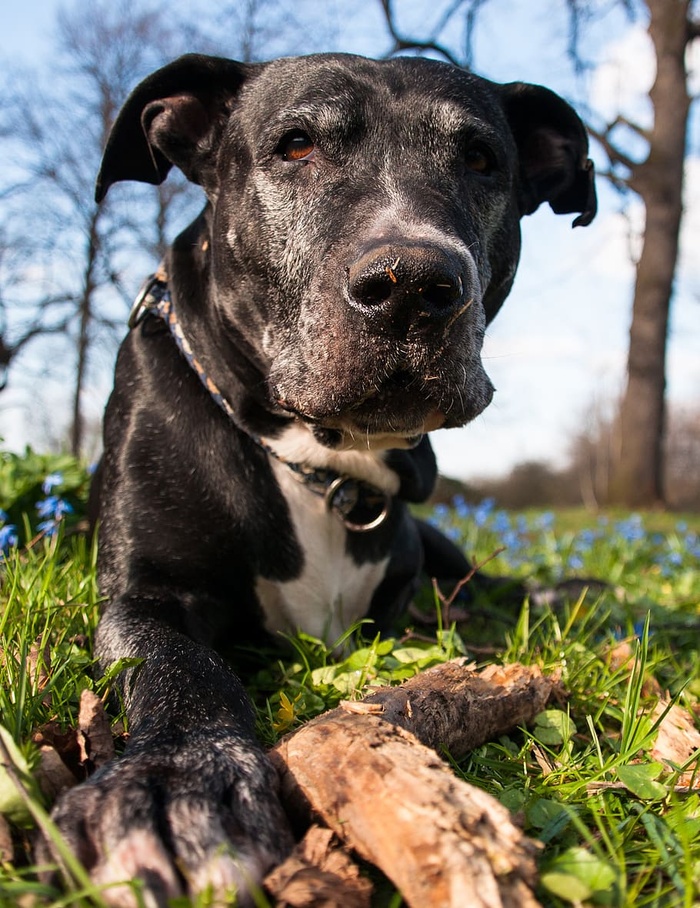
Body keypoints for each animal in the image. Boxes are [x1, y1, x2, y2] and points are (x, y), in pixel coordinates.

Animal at [49, 53, 596, 904]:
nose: (412, 284)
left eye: (480, 159)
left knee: (485, 580)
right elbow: (184, 668)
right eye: (296, 145)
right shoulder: (146, 594)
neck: (323, 461)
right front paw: (177, 785)